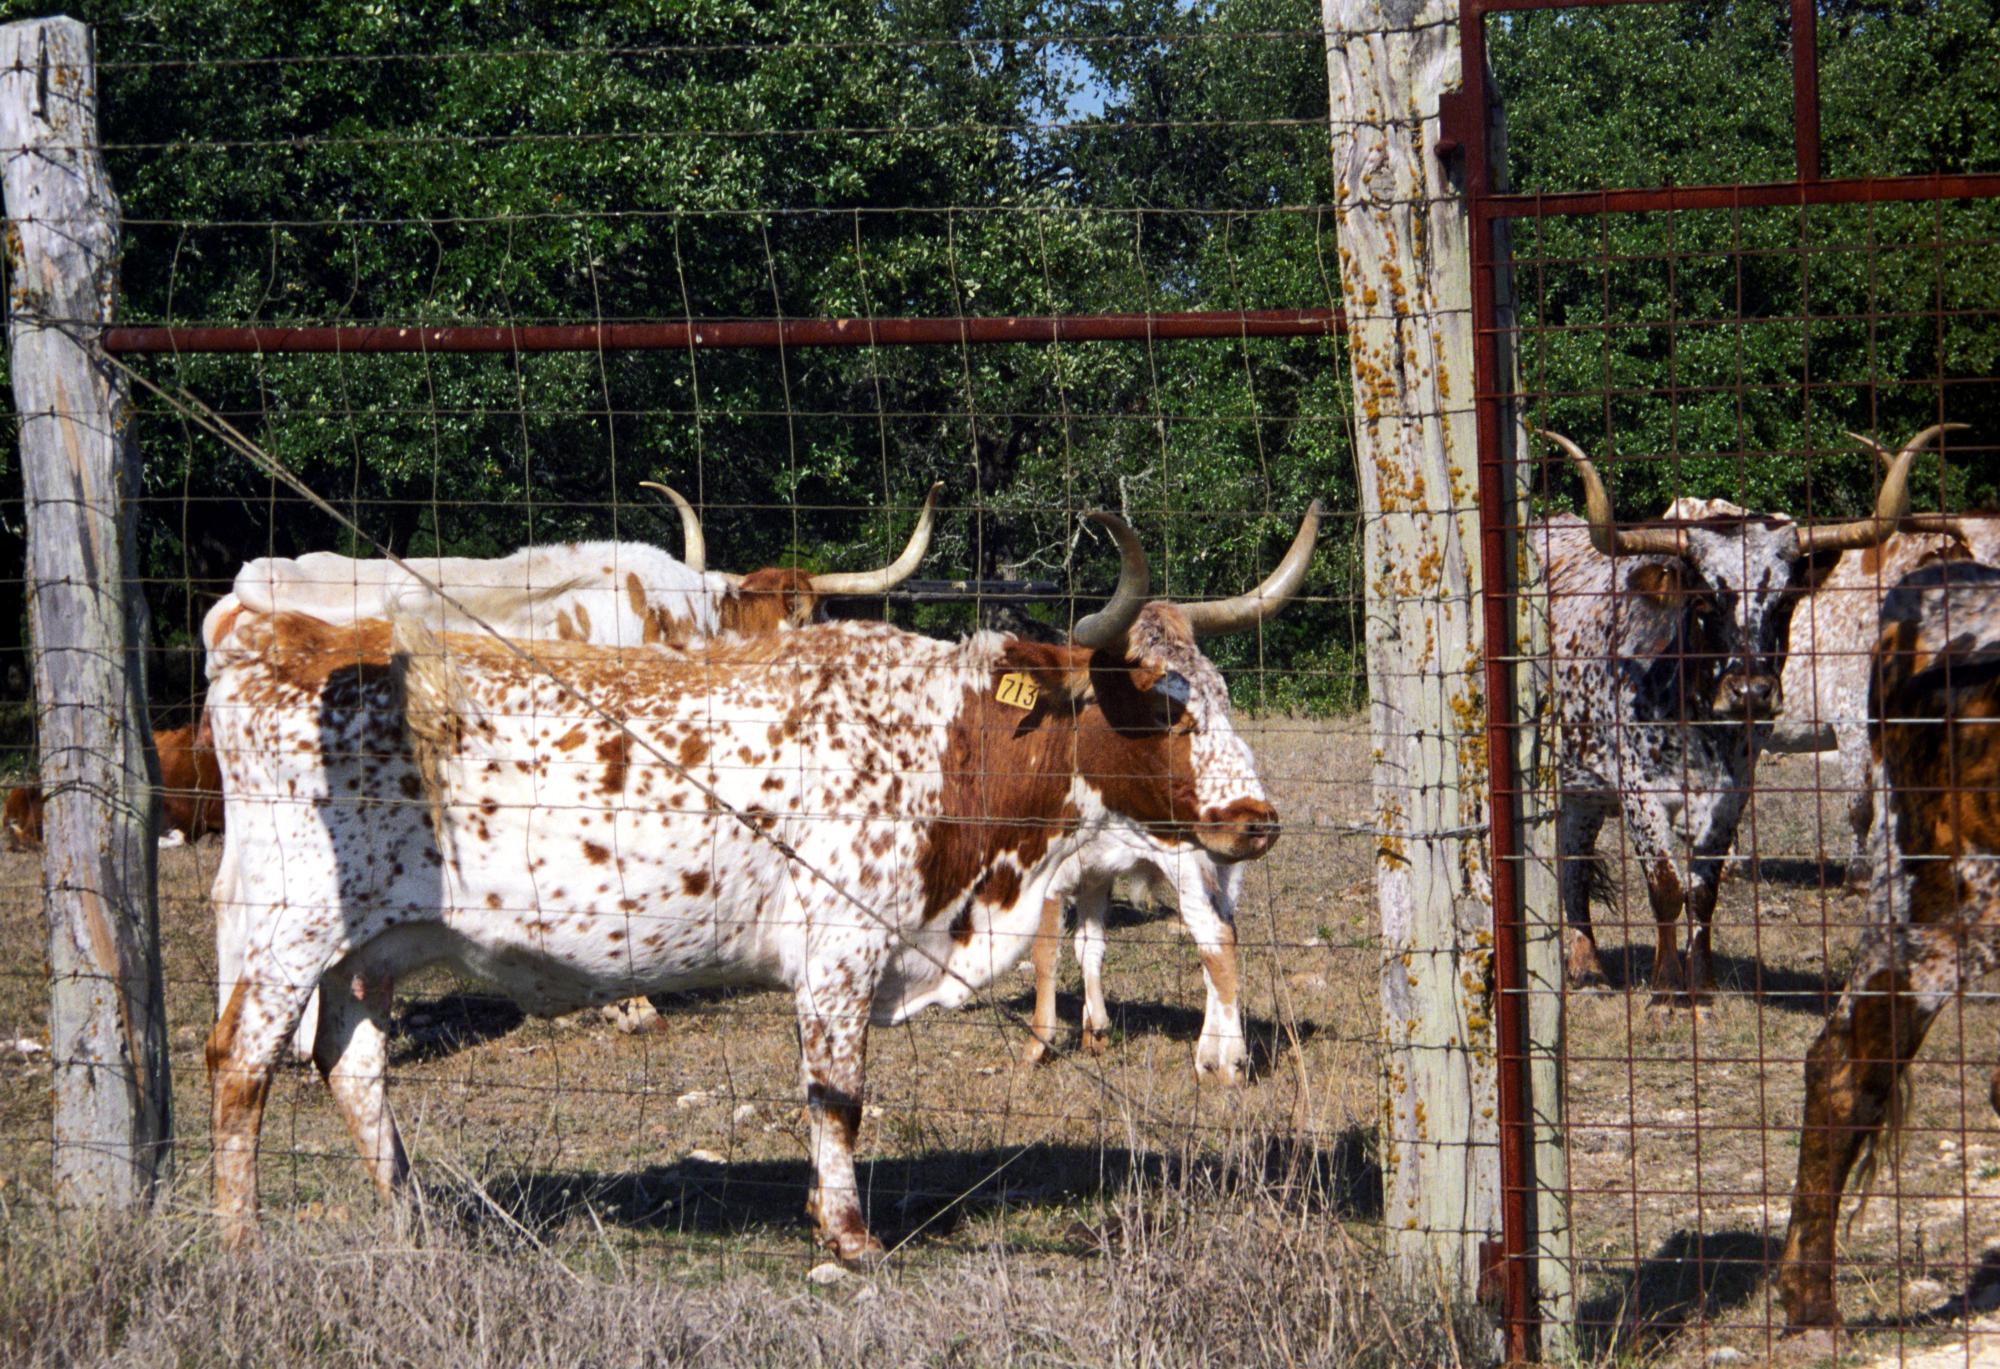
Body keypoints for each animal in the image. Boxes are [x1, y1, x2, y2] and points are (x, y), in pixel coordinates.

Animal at [203, 510, 1312, 1264]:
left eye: (1218, 689)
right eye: (1159, 707)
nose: (1255, 819)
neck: (944, 740)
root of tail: (270, 639)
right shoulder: (841, 951)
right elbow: (838, 1095)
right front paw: (851, 1236)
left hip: (368, 948)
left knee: (352, 1062)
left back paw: (409, 1219)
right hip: (289, 927)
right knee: (242, 1061)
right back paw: (240, 1241)